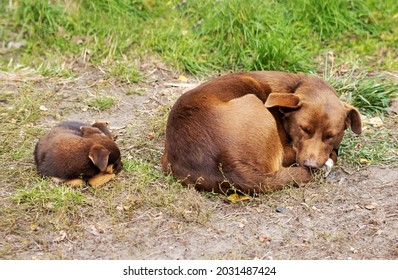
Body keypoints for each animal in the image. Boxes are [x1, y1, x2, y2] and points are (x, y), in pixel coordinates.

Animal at [160, 71, 362, 195]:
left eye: (331, 135)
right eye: (303, 128)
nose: (310, 166)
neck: (296, 87)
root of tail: (227, 164)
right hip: (253, 103)